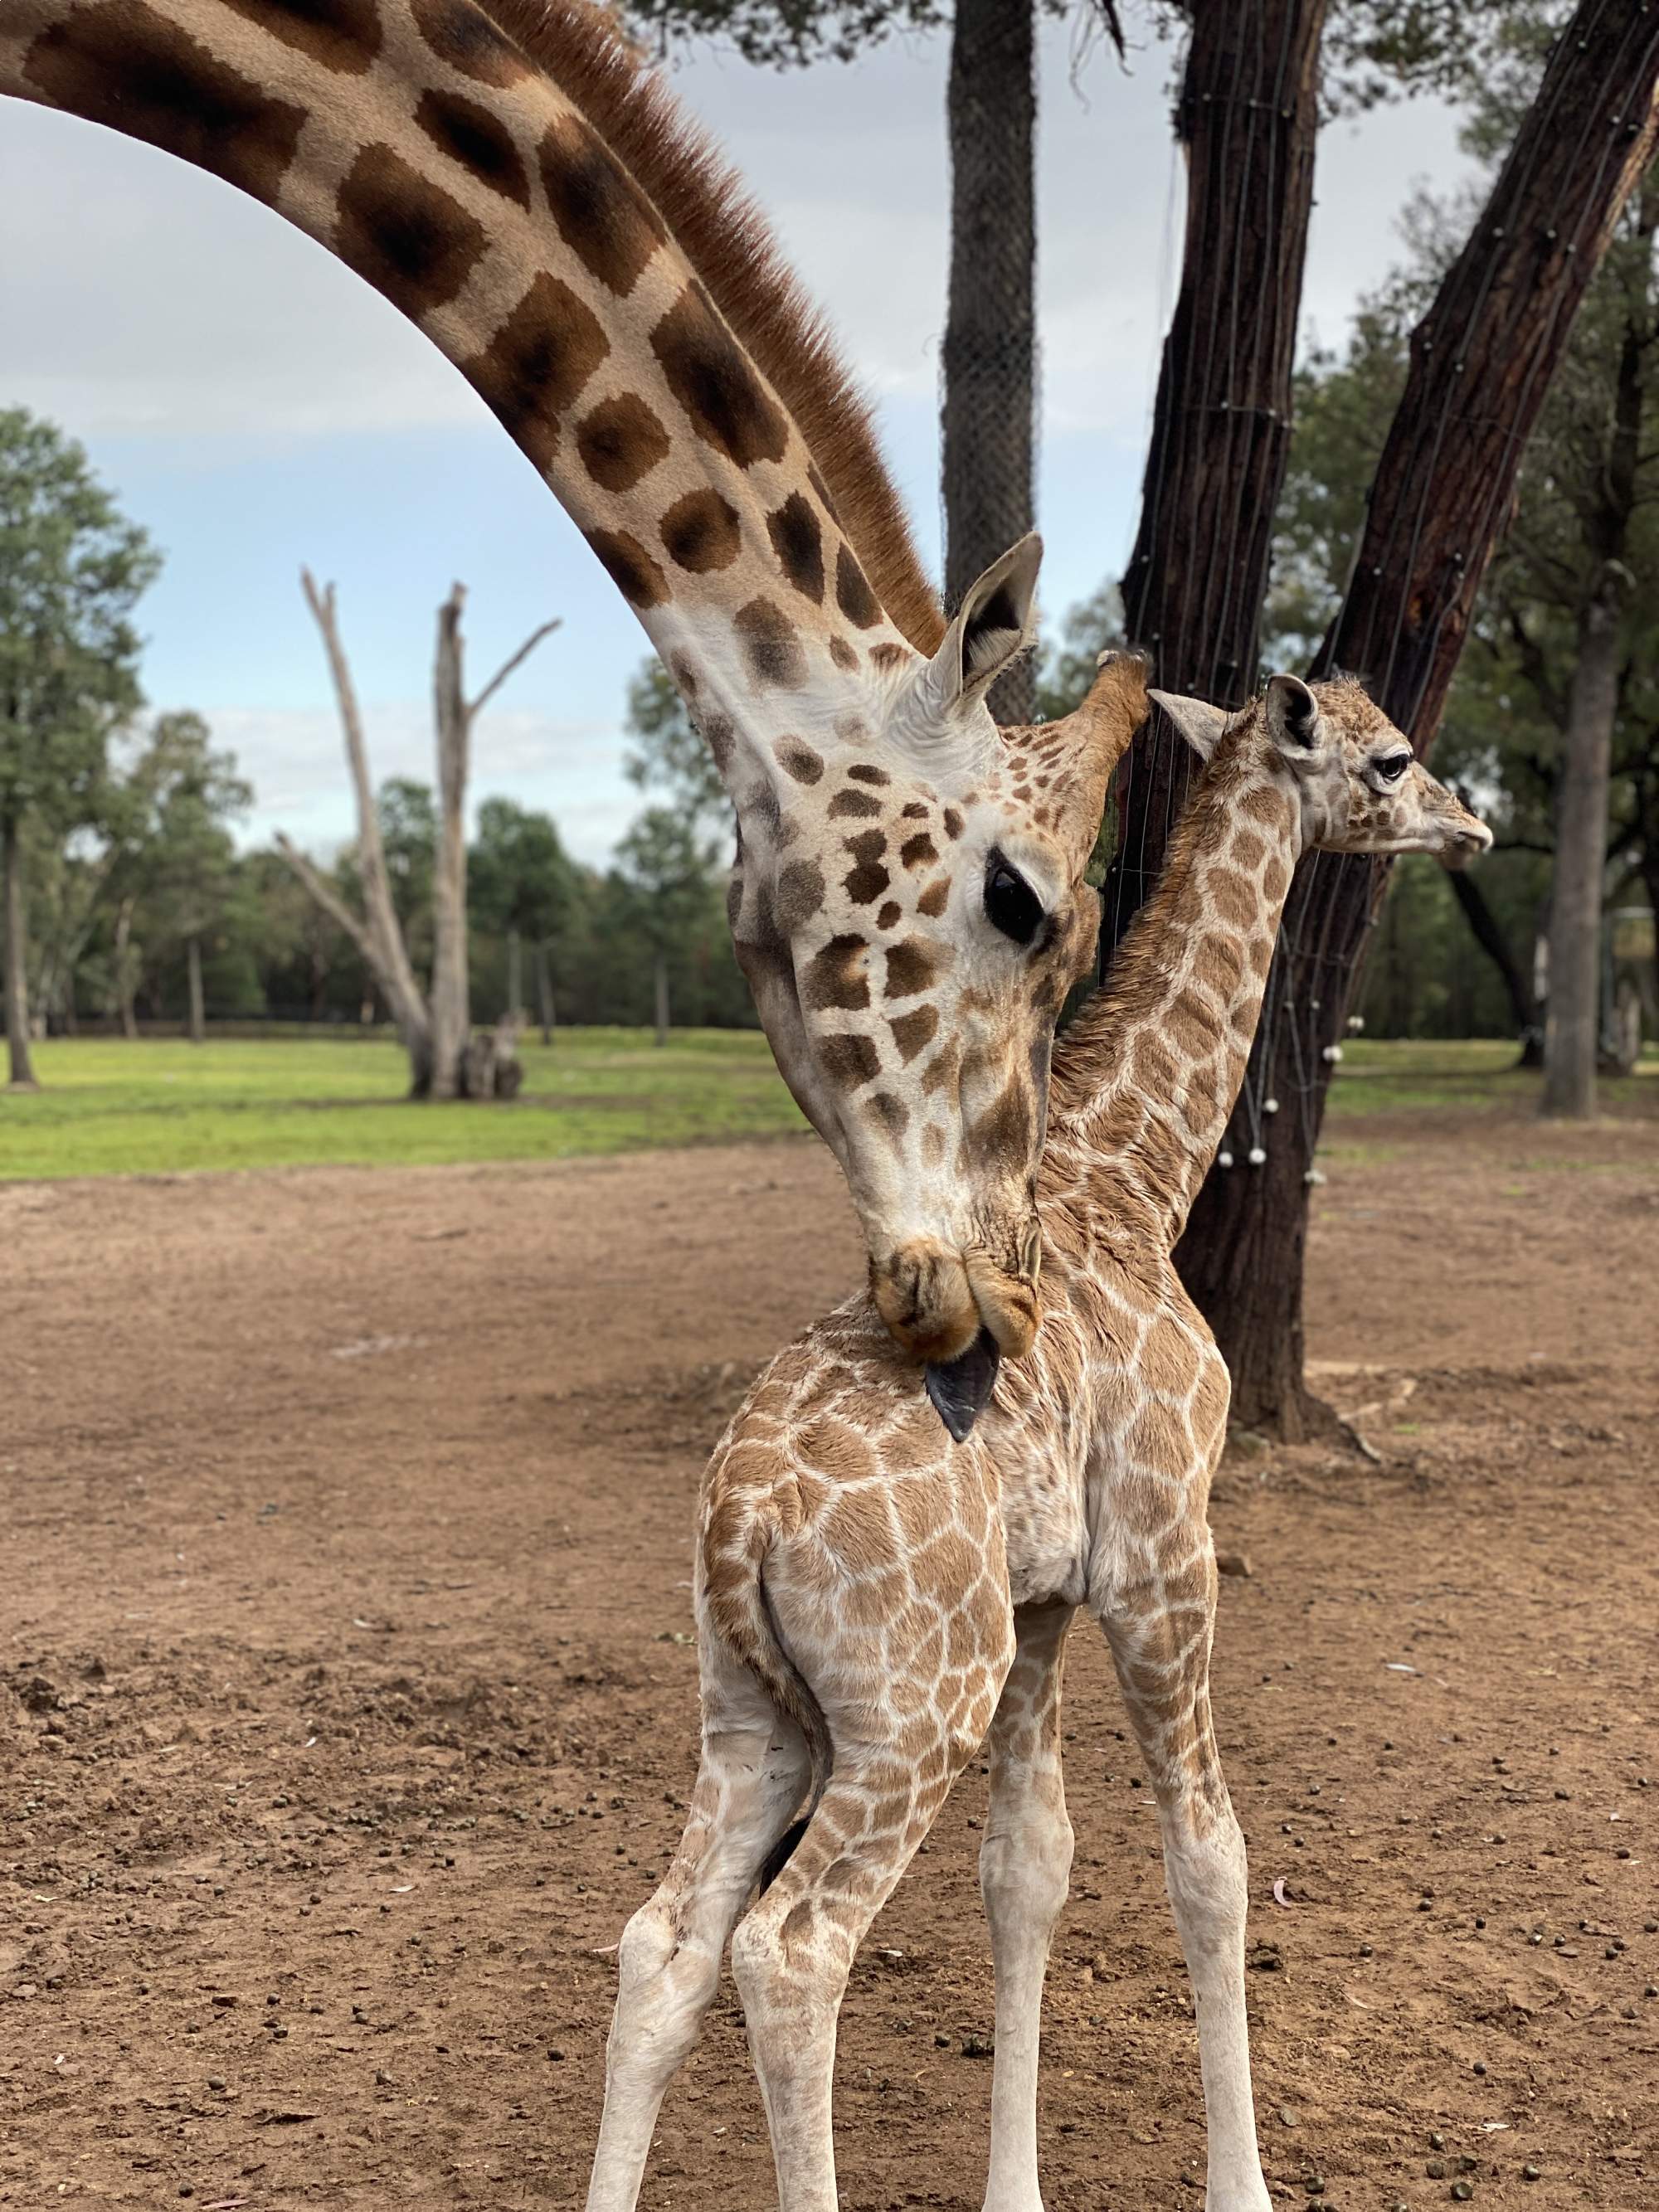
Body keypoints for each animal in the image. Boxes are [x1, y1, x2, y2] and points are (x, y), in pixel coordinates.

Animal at [584, 668, 1495, 2212]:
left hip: (750, 1703)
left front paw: (1015, 2187)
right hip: (909, 1706)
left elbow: (1030, 1873)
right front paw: (1243, 2187)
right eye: (1393, 758)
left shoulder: (1044, 1602)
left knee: (664, 1944)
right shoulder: (1162, 1550)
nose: (1472, 823)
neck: (1138, 1172)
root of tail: (742, 1523)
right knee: (791, 1949)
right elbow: (1210, 1855)